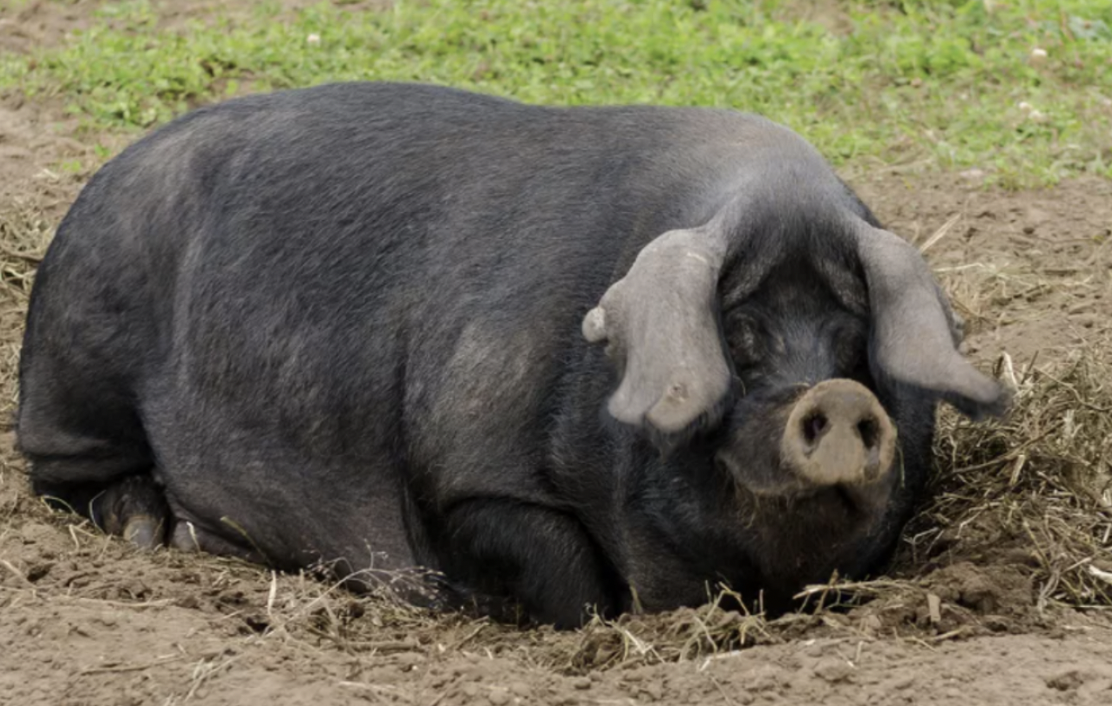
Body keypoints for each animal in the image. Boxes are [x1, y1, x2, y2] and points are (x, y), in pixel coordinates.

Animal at [17, 82, 1009, 631]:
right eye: (739, 334)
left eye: (851, 338)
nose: (837, 399)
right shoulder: (466, 477)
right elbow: (572, 582)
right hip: (73, 375)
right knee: (63, 474)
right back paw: (154, 532)